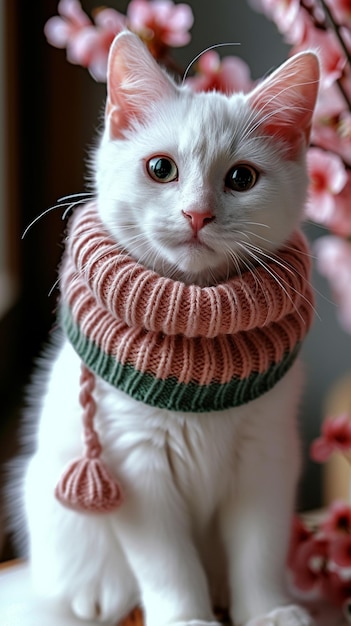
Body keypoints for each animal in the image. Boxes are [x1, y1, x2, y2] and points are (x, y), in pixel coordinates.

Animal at [20, 31, 320, 624]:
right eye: (161, 169)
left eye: (241, 178)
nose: (196, 214)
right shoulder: (135, 466)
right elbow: (169, 565)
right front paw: (186, 617)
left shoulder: (267, 454)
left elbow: (260, 548)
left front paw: (268, 610)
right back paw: (98, 593)